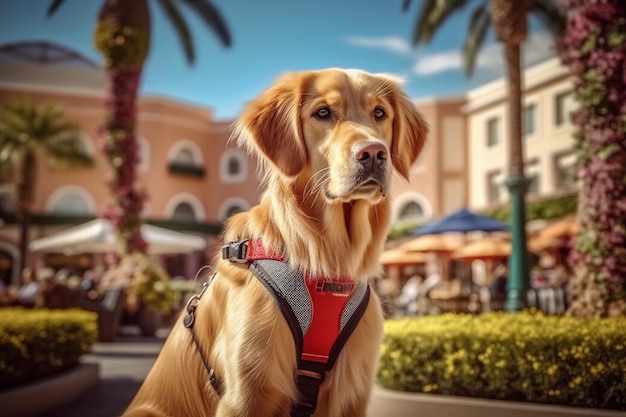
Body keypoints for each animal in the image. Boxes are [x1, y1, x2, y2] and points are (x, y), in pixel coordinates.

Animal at [122, 68, 424, 416]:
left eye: (379, 113)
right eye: (323, 113)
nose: (373, 153)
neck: (326, 260)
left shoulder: (352, 395)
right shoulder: (245, 394)